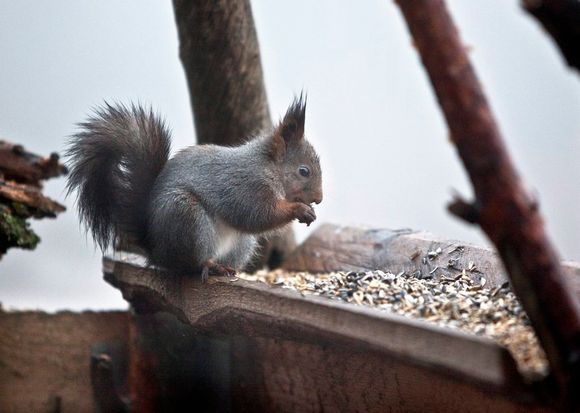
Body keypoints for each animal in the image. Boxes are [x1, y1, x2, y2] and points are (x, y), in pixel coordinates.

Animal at [68, 95, 324, 278]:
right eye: (304, 171)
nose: (319, 199)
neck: (268, 167)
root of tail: (156, 251)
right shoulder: (246, 185)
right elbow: (256, 215)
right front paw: (299, 210)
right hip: (187, 218)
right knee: (189, 265)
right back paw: (209, 266)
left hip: (241, 244)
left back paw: (227, 269)